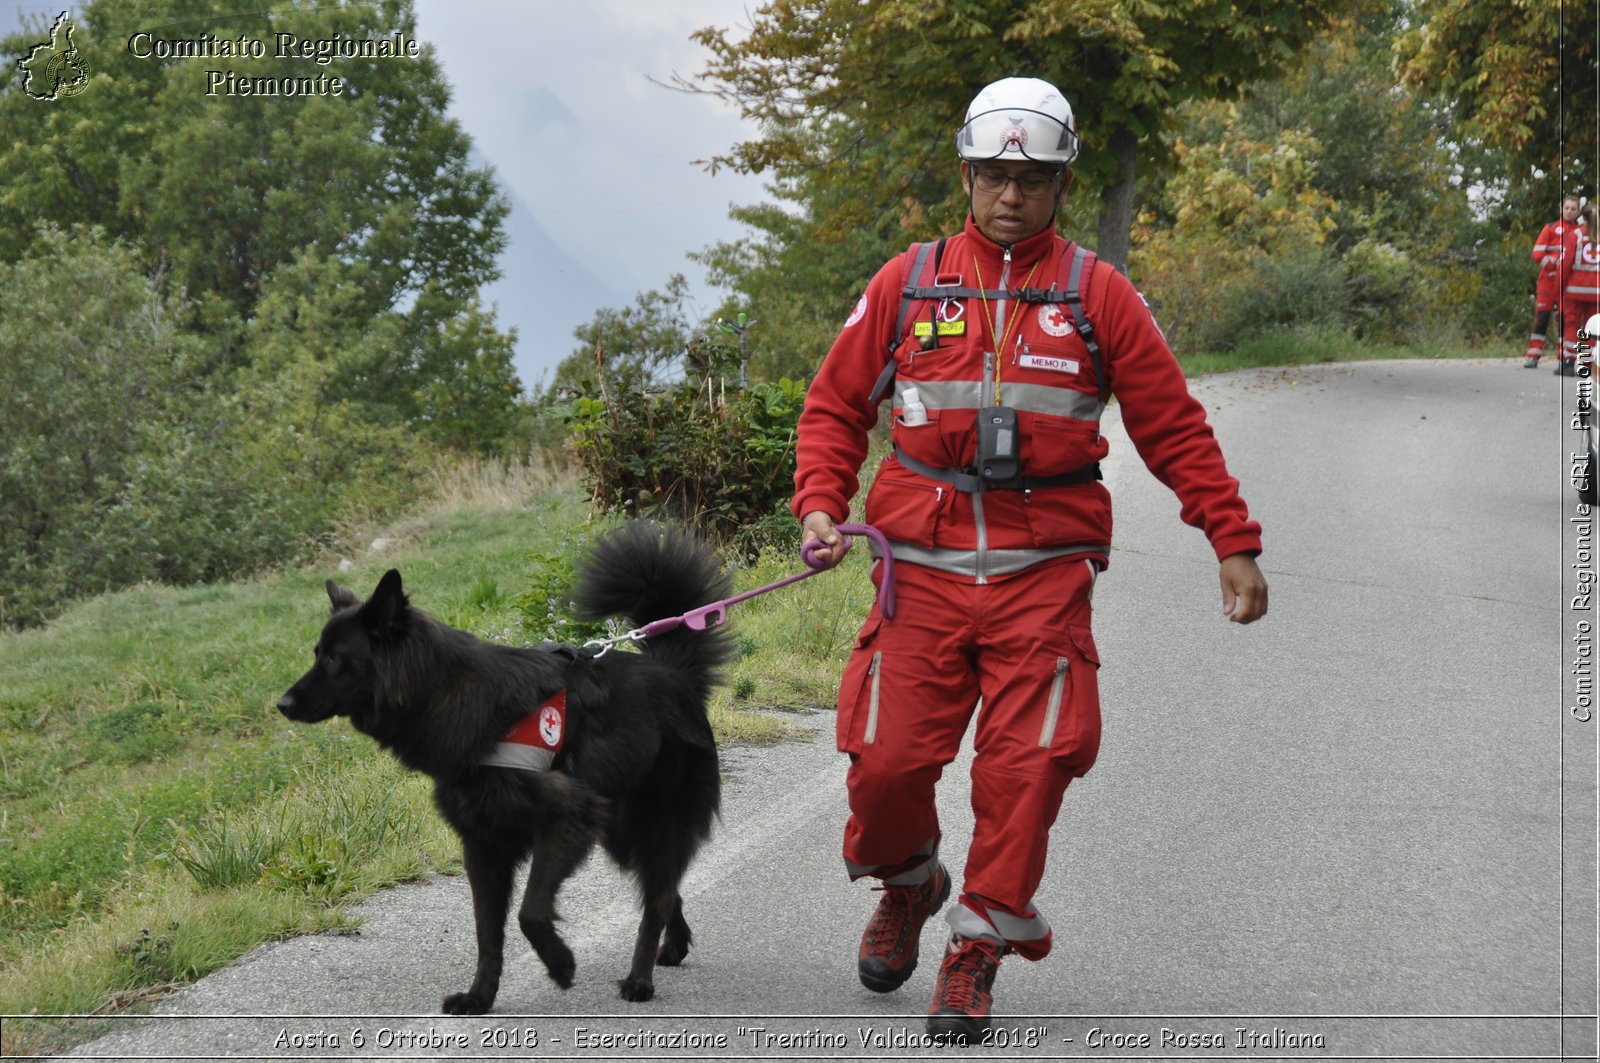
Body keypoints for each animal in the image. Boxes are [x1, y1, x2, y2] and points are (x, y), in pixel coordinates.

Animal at [275, 521, 732, 1011]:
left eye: (335, 657)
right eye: (317, 652)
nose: (281, 704)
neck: (447, 694)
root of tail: (676, 676)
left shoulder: (564, 815)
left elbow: (529, 912)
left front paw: (561, 964)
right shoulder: (483, 843)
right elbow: (487, 933)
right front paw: (480, 997)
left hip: (649, 821)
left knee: (656, 894)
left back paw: (640, 980)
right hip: (622, 832)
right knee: (662, 891)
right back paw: (674, 946)